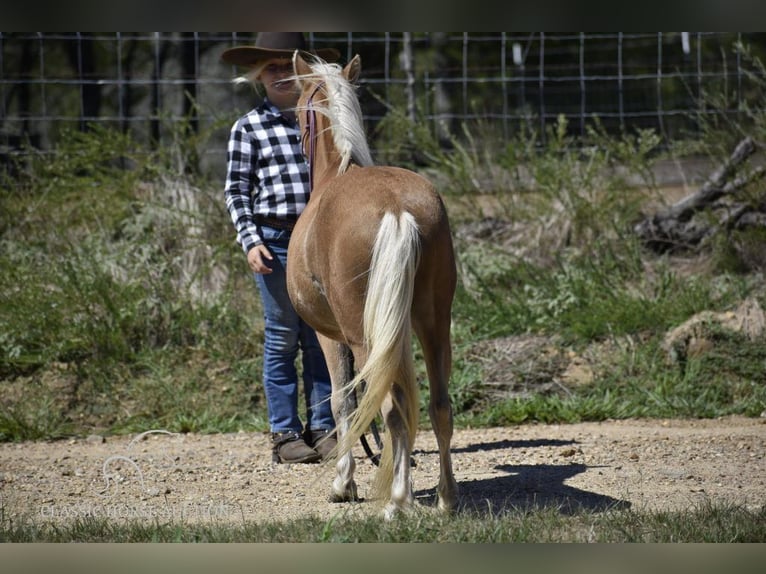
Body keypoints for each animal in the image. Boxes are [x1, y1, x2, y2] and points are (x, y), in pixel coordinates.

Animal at [286, 54, 456, 520]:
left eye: (298, 112)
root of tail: (397, 209)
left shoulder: (329, 336)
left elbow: (341, 402)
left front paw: (342, 485)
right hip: (435, 326)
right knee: (439, 405)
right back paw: (445, 499)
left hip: (365, 338)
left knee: (390, 408)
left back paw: (396, 502)